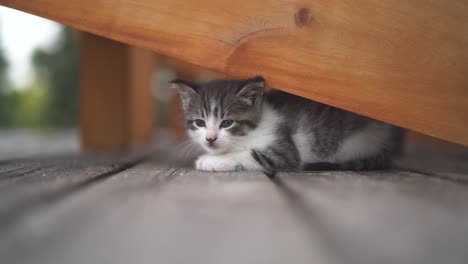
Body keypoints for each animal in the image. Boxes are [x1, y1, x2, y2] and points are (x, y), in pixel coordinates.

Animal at [170, 76, 404, 175]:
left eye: (227, 123)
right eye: (199, 123)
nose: (210, 138)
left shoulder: (284, 151)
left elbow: (250, 155)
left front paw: (210, 160)